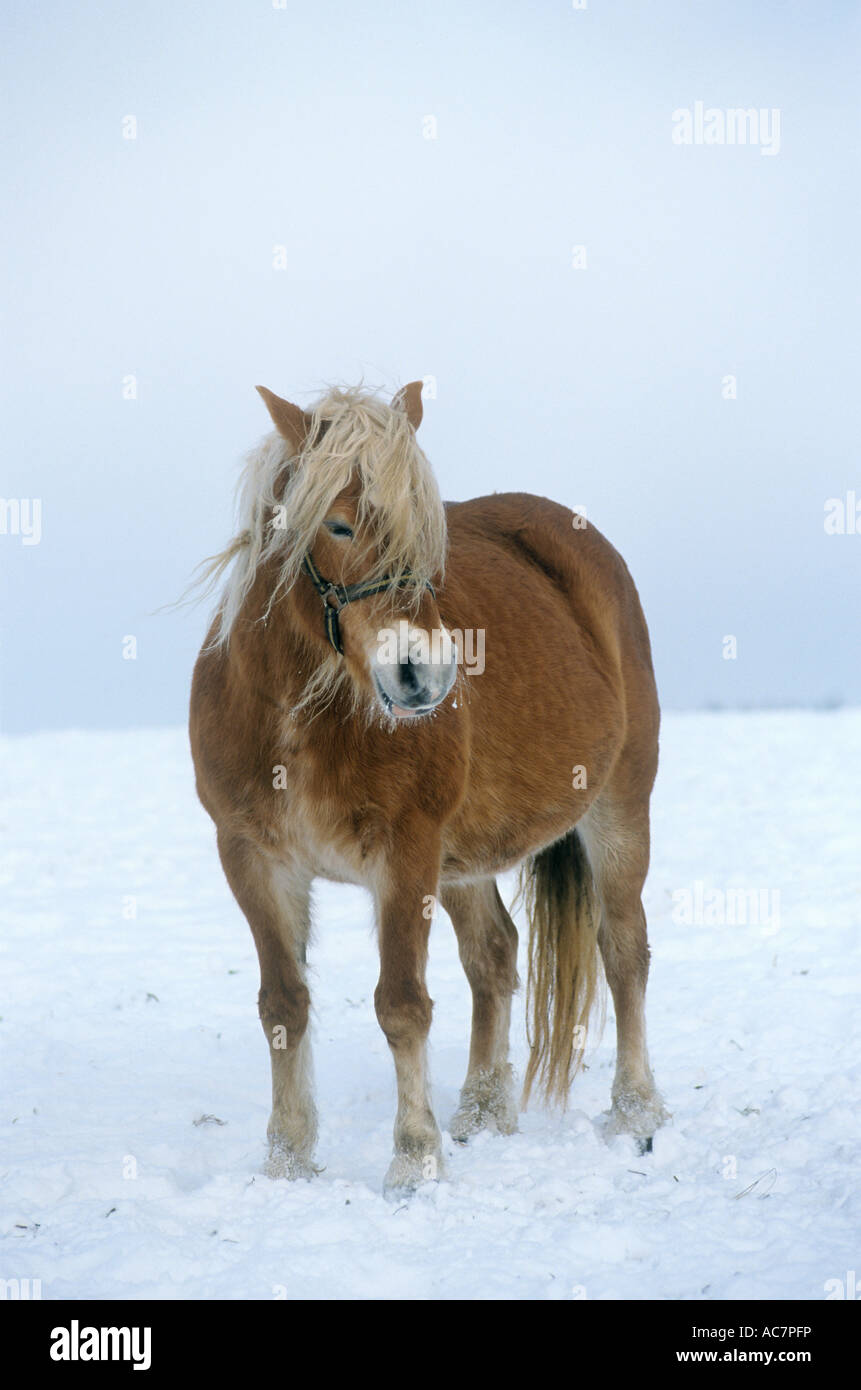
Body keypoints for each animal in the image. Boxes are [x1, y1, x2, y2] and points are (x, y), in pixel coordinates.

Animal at [191, 380, 670, 1195]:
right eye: (339, 522)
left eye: (428, 536)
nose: (424, 675)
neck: (302, 712)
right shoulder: (252, 857)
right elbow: (283, 1004)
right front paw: (287, 1160)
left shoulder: (404, 854)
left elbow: (401, 1006)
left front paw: (413, 1159)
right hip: (461, 861)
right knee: (495, 958)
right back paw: (481, 1110)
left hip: (617, 810)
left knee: (622, 950)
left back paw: (635, 1111)